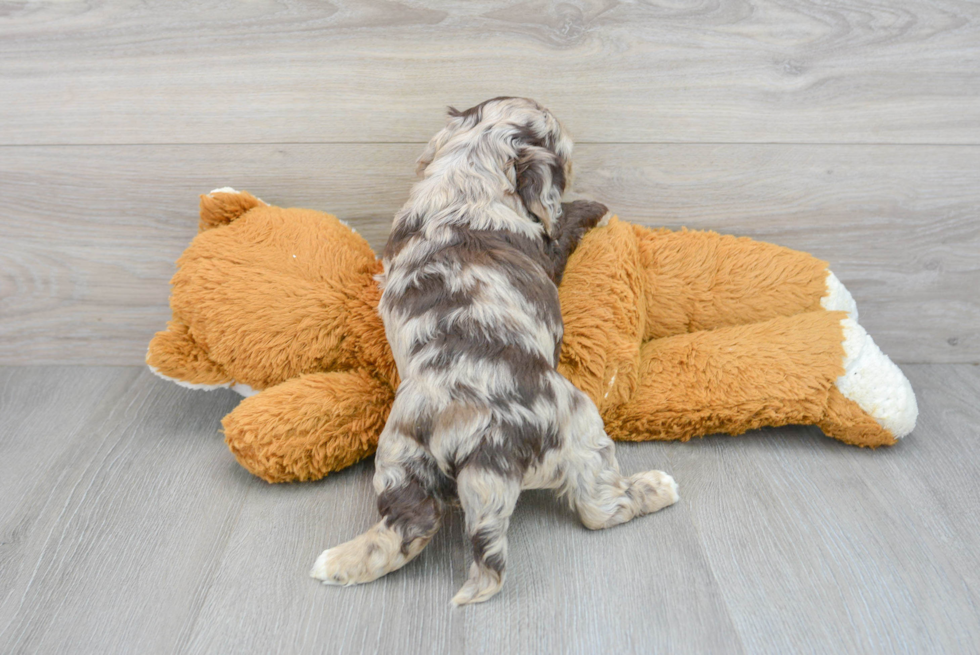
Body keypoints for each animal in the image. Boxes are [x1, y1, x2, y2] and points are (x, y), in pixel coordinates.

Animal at [310, 96, 676, 604]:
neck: (465, 175)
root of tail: (483, 442)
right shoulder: (547, 248)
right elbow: (560, 224)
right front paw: (593, 208)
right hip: (581, 427)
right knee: (599, 507)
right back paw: (656, 488)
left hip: (402, 457)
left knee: (406, 526)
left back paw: (336, 563)